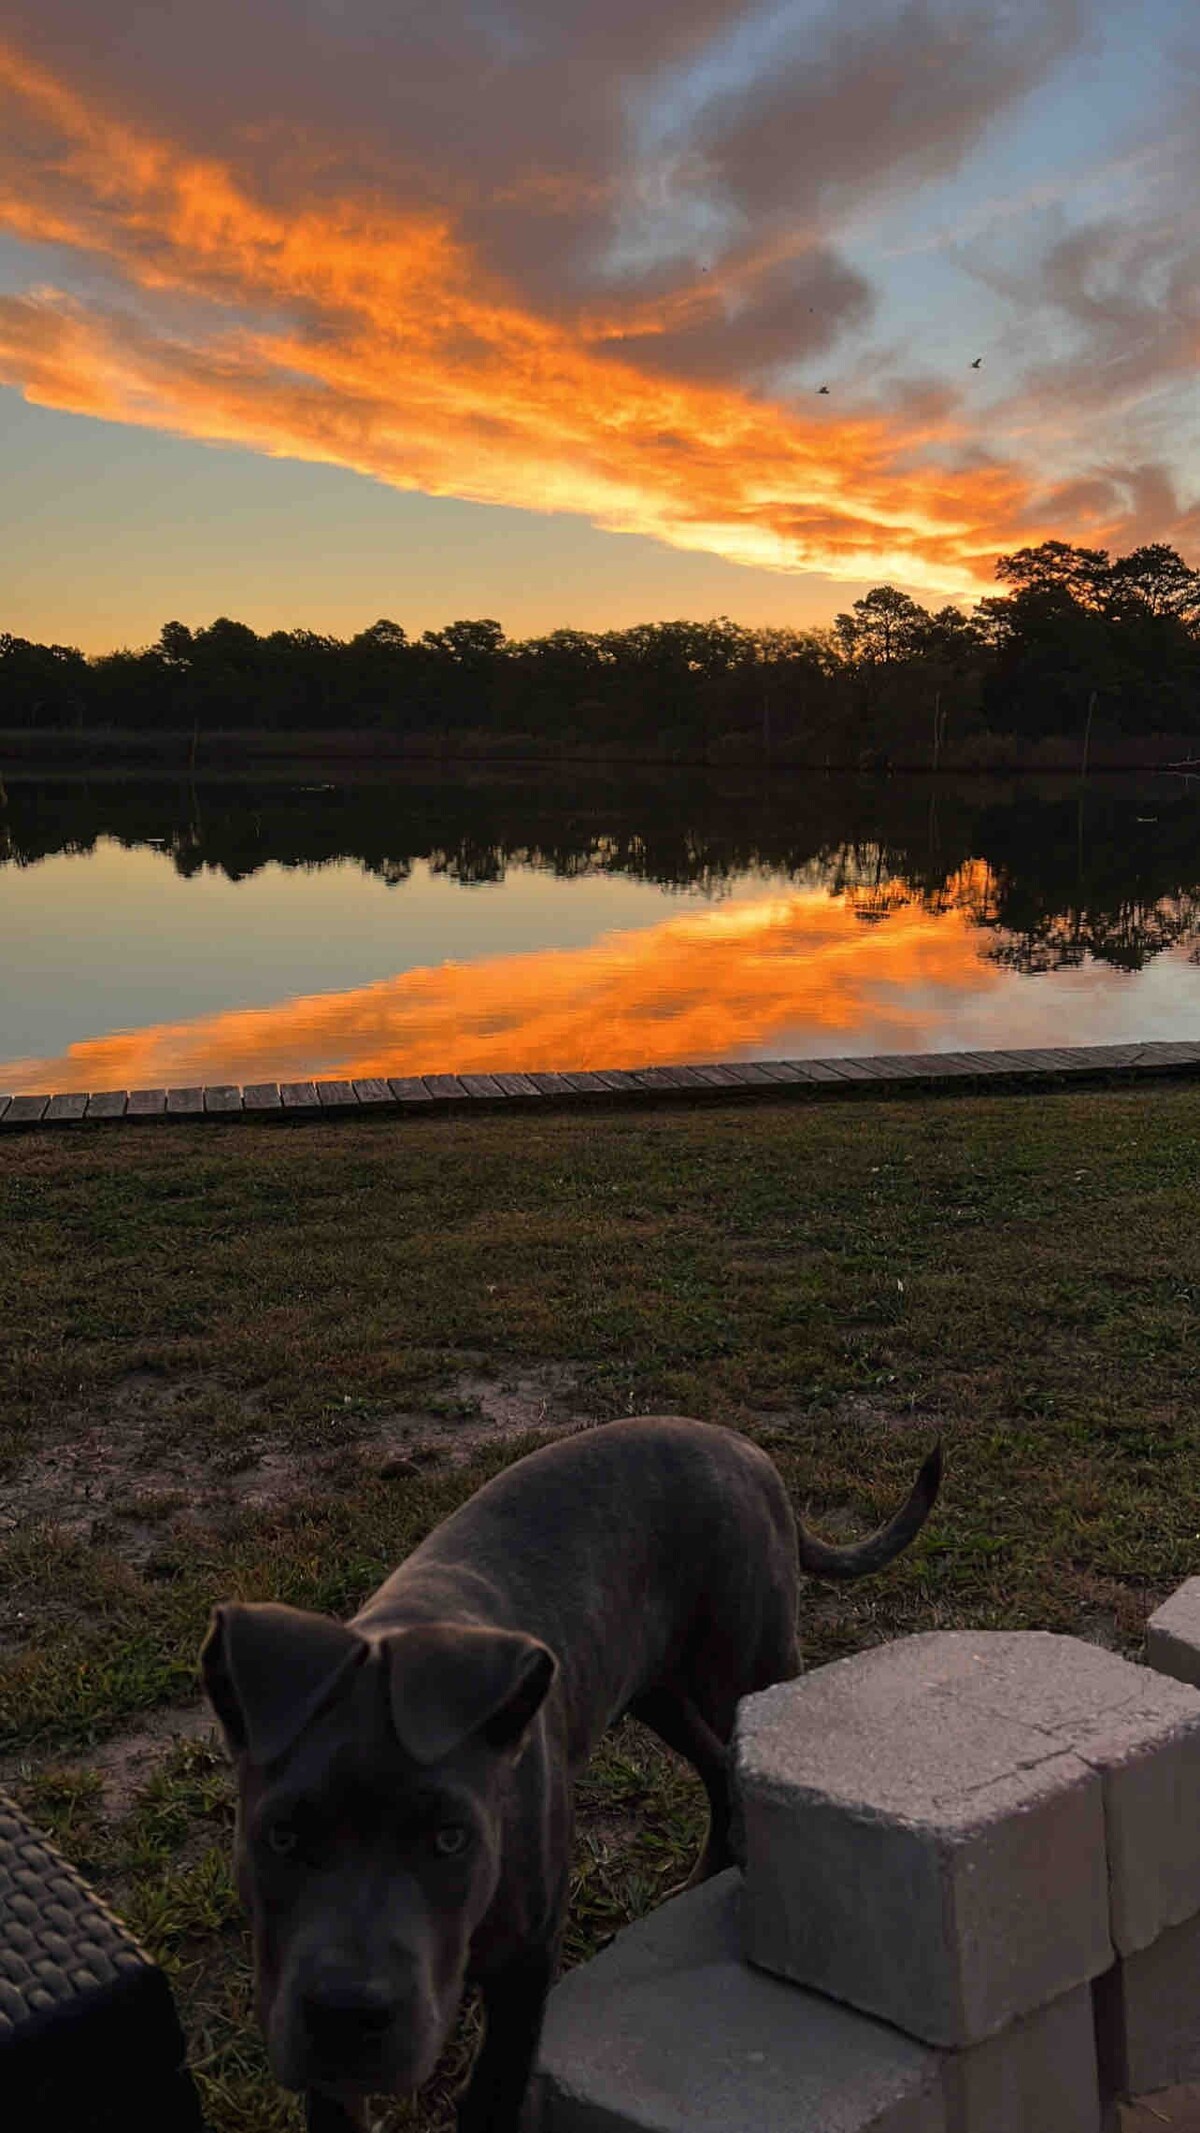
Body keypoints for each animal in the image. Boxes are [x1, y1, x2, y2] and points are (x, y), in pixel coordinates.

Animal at [201, 1416, 942, 2133]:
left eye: (451, 1838)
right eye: (281, 1836)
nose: (347, 2013)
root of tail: (746, 1448)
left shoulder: (527, 1960)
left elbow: (494, 2088)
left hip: (747, 1662)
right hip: (656, 1686)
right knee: (716, 1767)